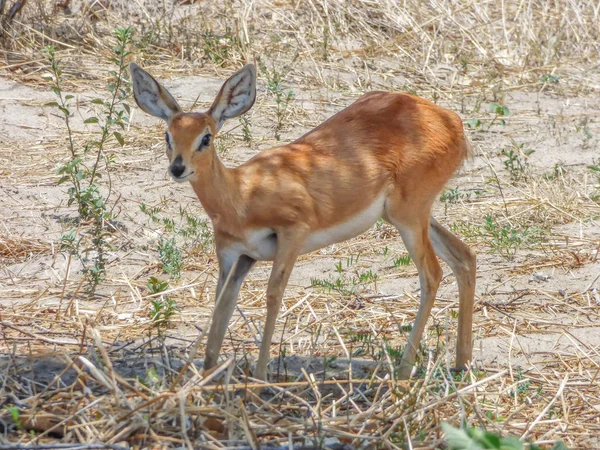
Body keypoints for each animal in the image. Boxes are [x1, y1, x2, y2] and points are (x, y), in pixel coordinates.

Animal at [132, 62, 478, 380]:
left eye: (206, 137)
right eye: (168, 135)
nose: (178, 168)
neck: (241, 194)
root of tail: (451, 121)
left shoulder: (292, 233)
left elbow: (274, 294)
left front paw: (260, 378)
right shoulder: (235, 257)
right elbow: (221, 306)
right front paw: (206, 380)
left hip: (408, 218)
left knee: (432, 274)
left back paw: (404, 372)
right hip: (411, 216)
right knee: (464, 256)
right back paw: (461, 363)